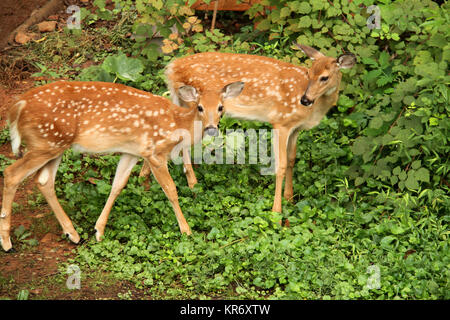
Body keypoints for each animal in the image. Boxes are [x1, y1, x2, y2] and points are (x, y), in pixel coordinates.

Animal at [0, 80, 244, 252]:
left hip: (54, 145)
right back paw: (7, 243)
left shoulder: (132, 152)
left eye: (221, 107)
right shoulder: (154, 153)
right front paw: (186, 230)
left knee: (43, 180)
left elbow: (118, 185)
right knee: (11, 173)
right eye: (200, 107)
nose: (211, 129)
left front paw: (98, 231)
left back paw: (73, 234)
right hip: (46, 143)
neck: (177, 123)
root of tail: (18, 106)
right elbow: (171, 190)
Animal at [156, 45, 356, 215]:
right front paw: (277, 211)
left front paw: (290, 198)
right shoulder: (281, 121)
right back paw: (193, 185)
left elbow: (291, 160)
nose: (305, 99)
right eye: (309, 73)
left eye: (324, 77)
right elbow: (281, 165)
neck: (313, 111)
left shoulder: (295, 128)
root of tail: (171, 67)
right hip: (195, 106)